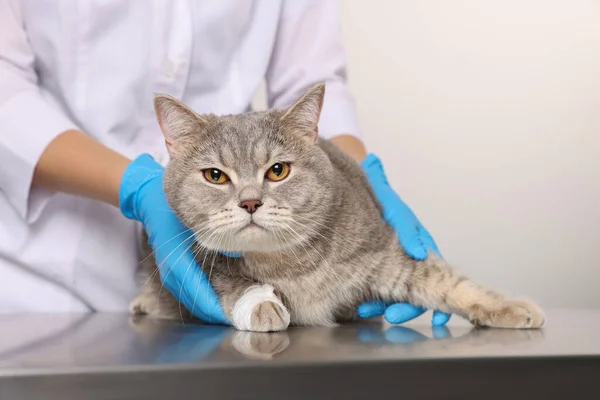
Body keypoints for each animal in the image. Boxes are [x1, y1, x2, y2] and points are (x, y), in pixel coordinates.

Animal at [129, 82, 548, 332]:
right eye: (215, 176)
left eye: (278, 170)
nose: (250, 202)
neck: (289, 265)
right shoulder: (200, 264)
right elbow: (234, 283)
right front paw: (261, 303)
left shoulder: (388, 254)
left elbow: (450, 282)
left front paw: (507, 306)